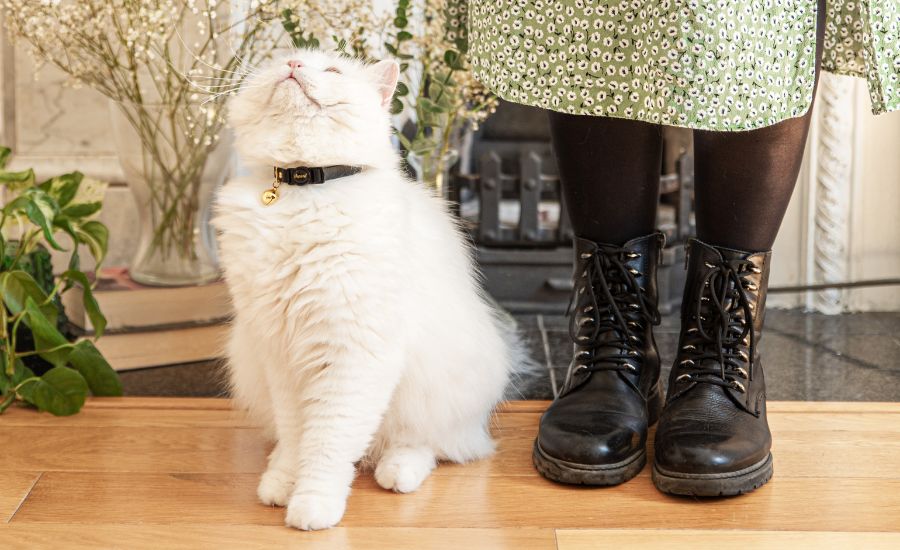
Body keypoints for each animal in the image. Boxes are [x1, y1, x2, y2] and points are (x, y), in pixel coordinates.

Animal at [213, 49, 512, 532]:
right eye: (282, 60)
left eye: (332, 71)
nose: (294, 65)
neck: (300, 185)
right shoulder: (283, 355)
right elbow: (298, 436)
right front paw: (286, 485)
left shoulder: (352, 355)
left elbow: (328, 444)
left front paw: (312, 508)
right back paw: (276, 474)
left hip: (430, 396)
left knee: (428, 445)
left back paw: (397, 473)